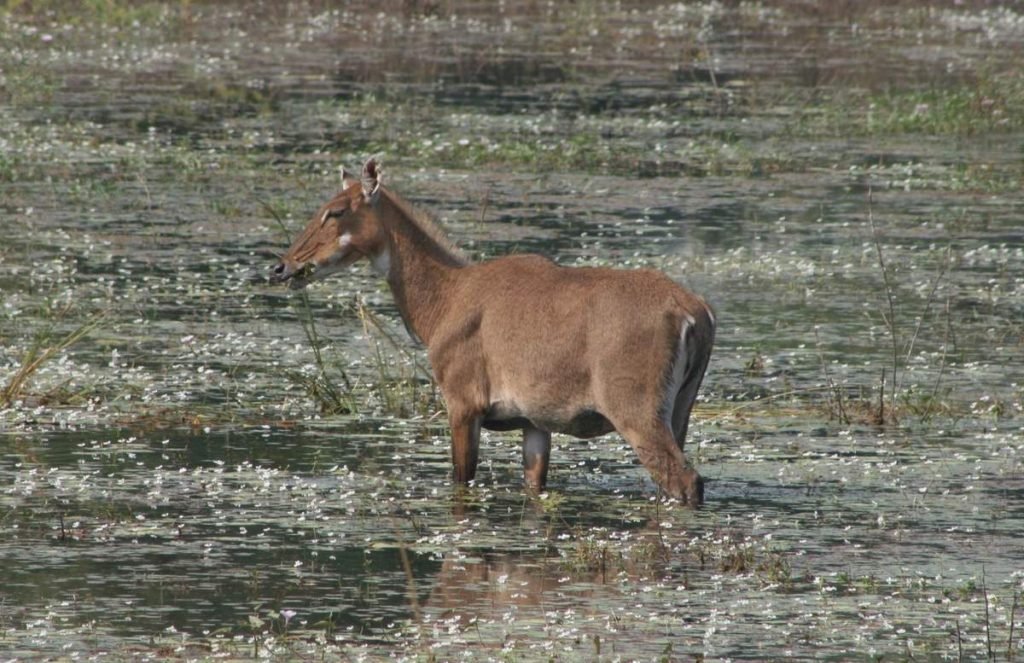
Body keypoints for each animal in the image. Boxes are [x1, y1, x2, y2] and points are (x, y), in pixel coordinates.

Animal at [272, 157, 720, 506]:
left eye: (335, 211)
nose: (281, 266)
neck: (445, 299)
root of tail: (696, 312)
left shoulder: (463, 403)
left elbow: (461, 480)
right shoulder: (535, 422)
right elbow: (534, 484)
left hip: (638, 411)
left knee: (685, 481)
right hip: (680, 409)